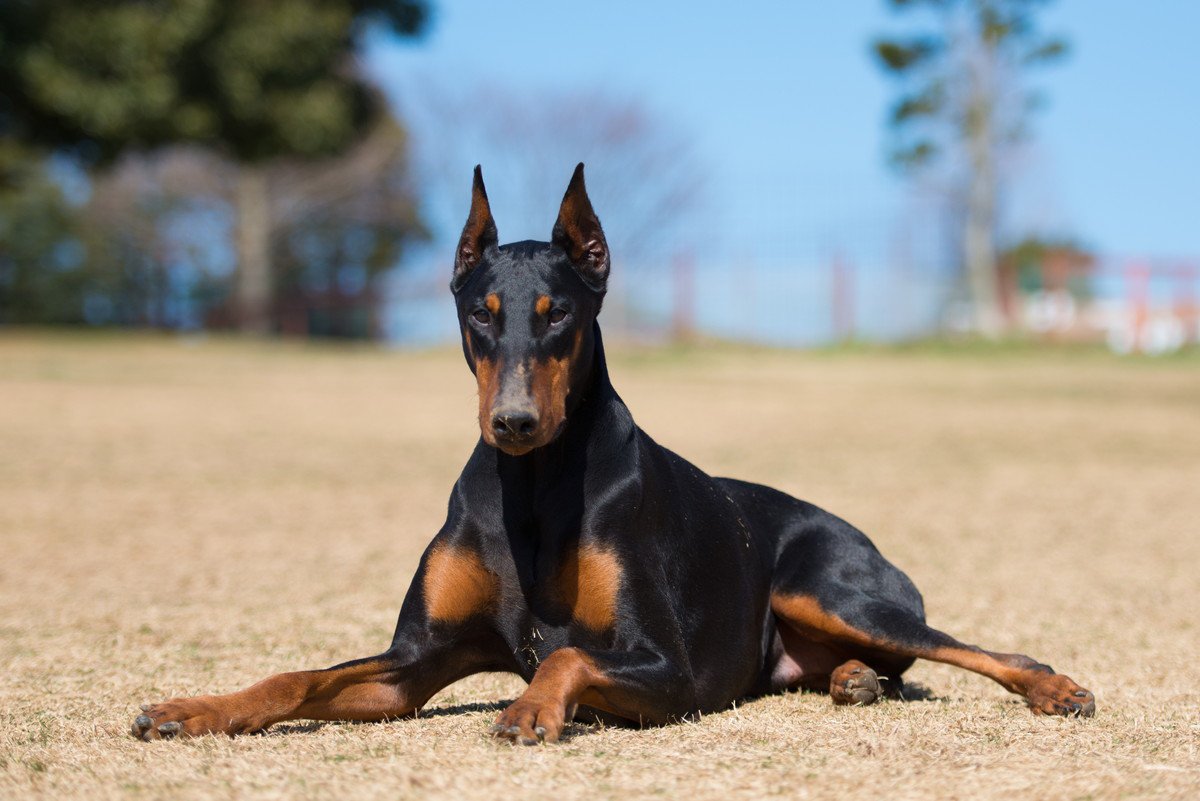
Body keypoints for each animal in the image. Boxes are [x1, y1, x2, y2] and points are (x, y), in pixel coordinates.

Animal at [131, 165, 1099, 748]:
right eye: (481, 313)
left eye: (559, 312)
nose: (515, 421)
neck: (530, 487)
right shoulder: (415, 660)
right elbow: (297, 674)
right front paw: (191, 708)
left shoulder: (667, 668)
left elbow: (564, 657)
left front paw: (529, 707)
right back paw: (855, 680)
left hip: (831, 587)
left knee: (973, 647)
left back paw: (1053, 688)